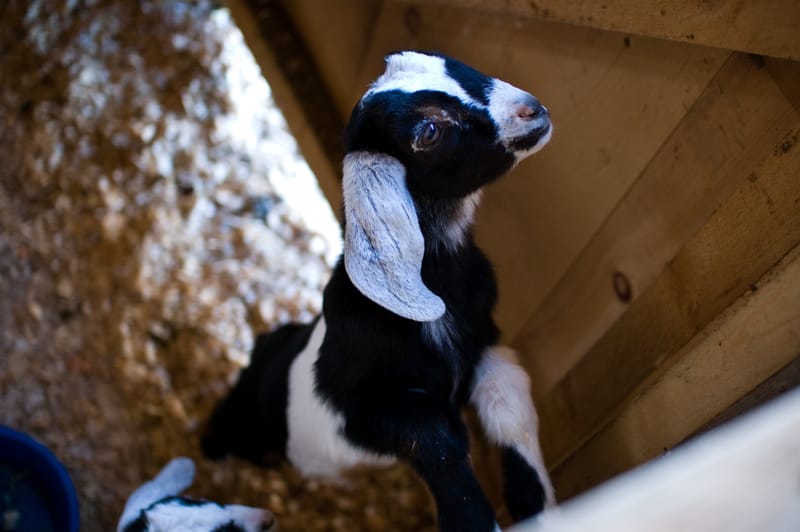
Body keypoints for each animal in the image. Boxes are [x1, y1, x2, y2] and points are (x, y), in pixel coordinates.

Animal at [202, 51, 555, 531]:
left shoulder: (483, 343)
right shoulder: (360, 412)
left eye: (448, 62)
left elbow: (510, 406)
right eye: (428, 131)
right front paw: (474, 516)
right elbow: (436, 438)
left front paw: (536, 502)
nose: (530, 110)